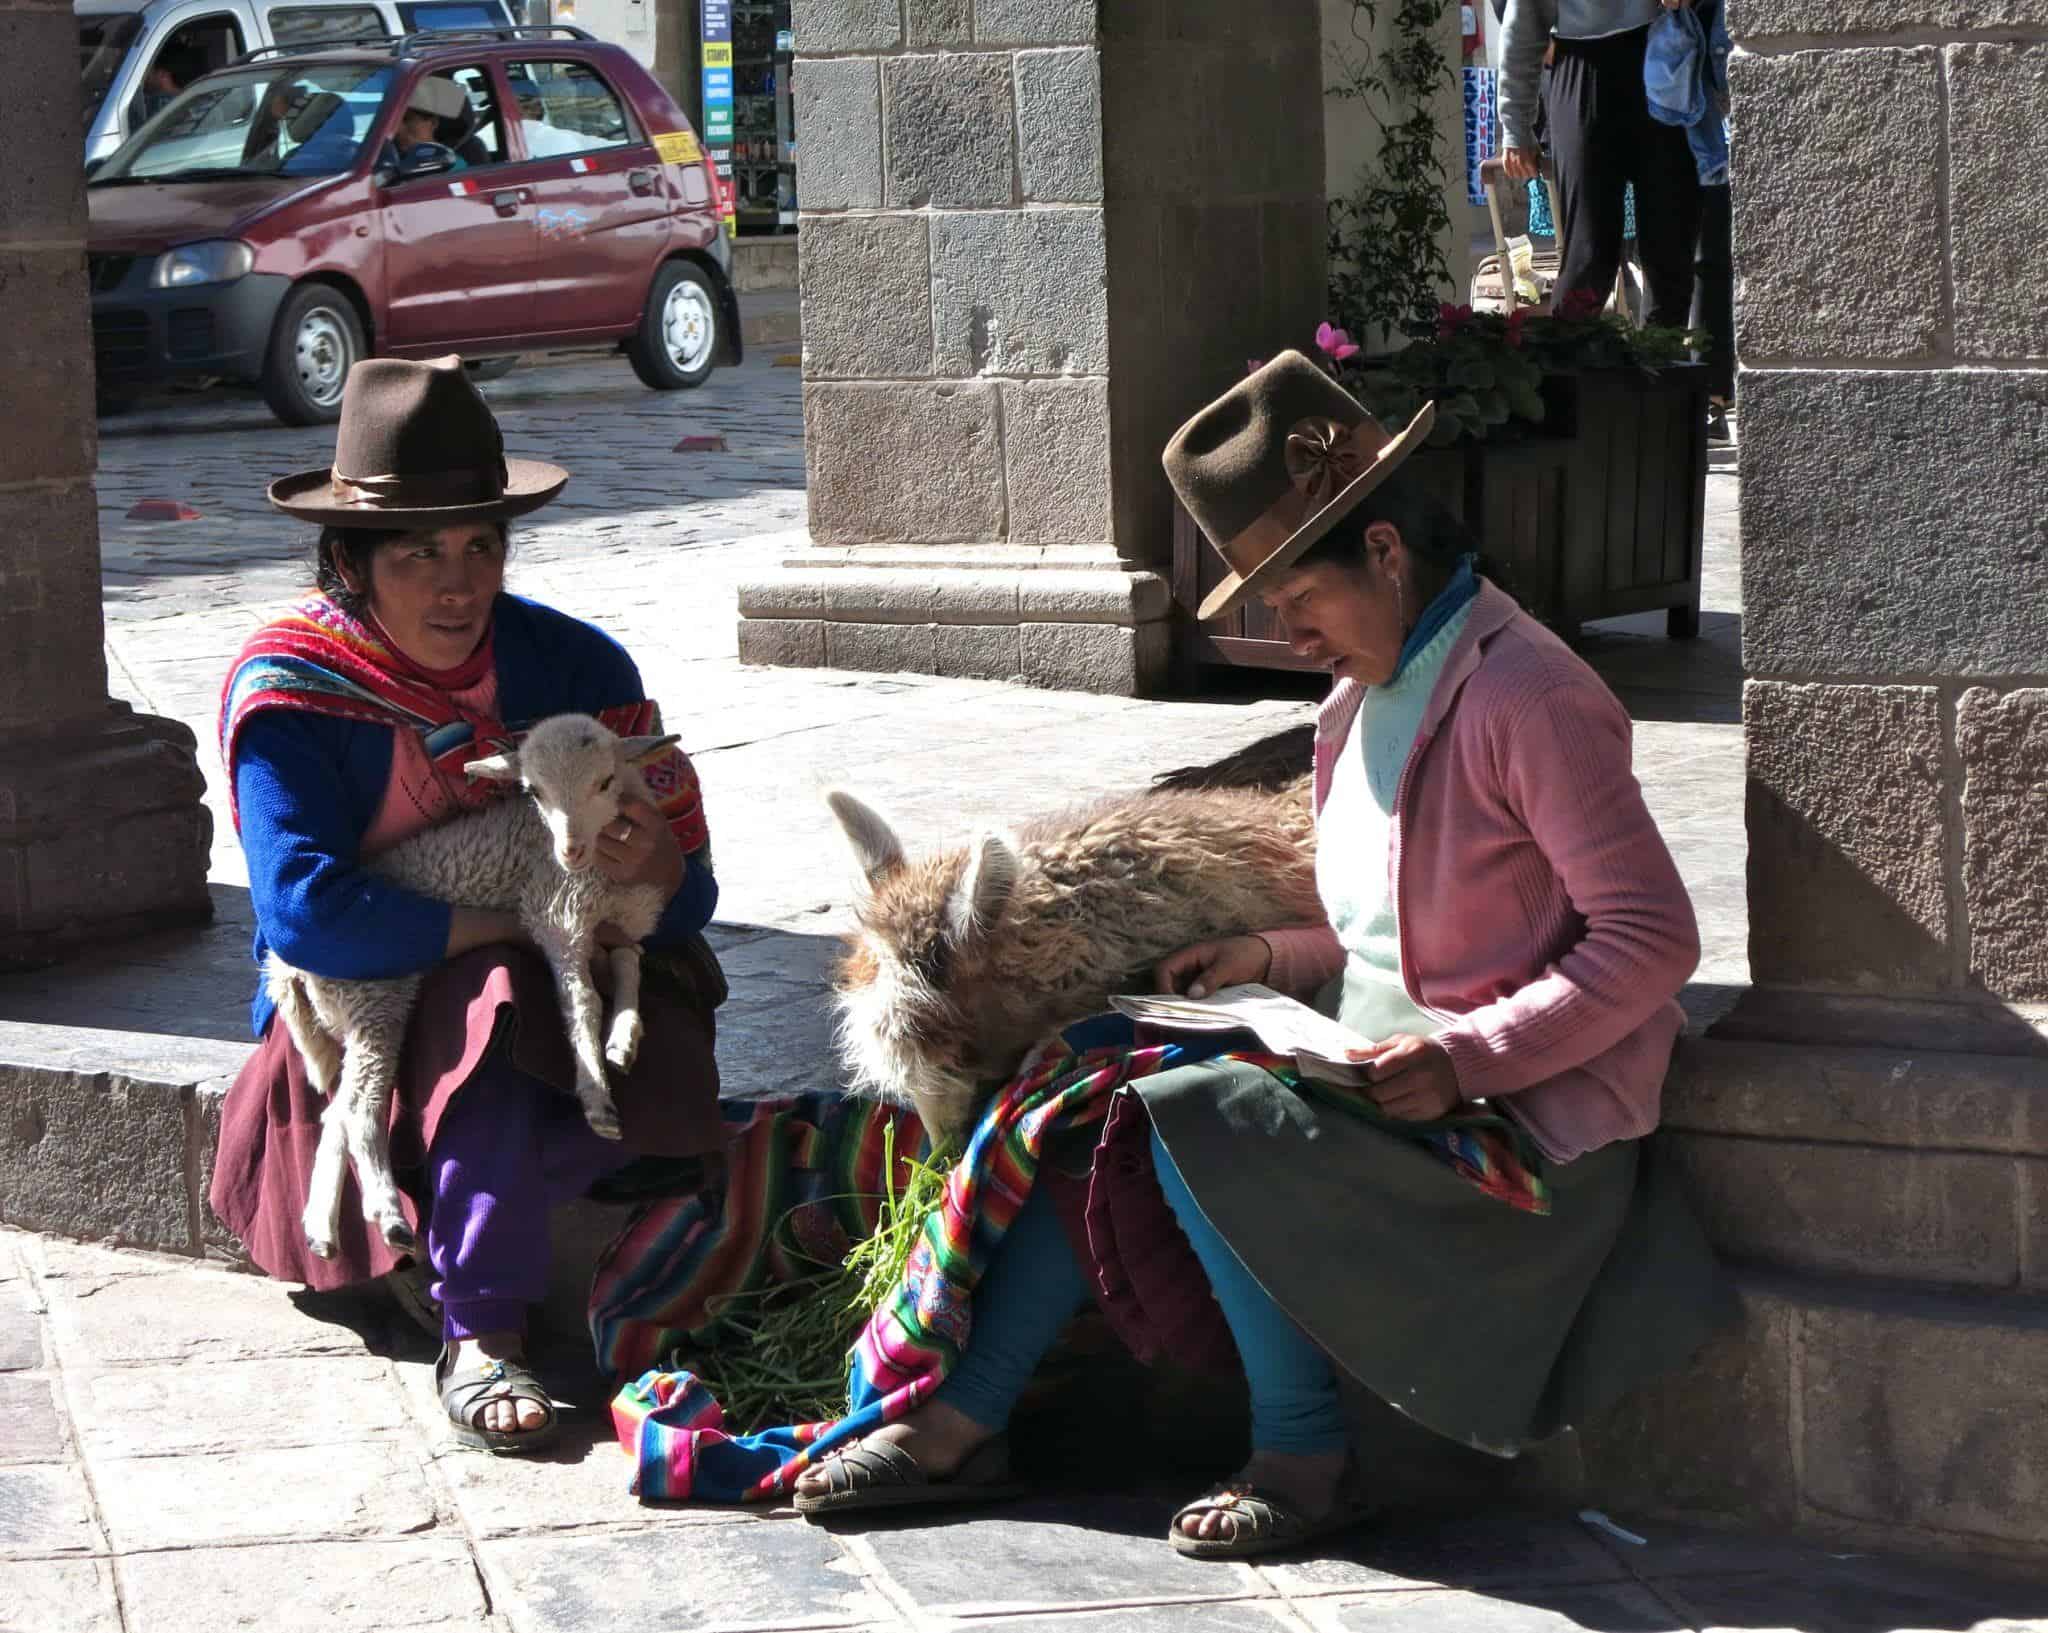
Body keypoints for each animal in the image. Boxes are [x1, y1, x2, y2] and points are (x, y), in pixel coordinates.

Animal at [268, 713, 684, 1262]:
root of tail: (284, 968)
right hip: (373, 995)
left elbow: (629, 967)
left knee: (336, 1112)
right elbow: (583, 1002)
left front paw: (624, 1039)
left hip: (358, 1007)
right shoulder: (558, 914)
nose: (569, 850)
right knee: (359, 1109)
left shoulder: (623, 920)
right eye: (533, 790)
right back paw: (389, 1214)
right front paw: (597, 1096)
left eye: (605, 781)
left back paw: (321, 1227)